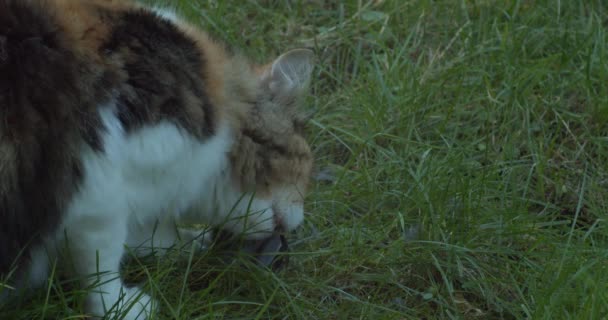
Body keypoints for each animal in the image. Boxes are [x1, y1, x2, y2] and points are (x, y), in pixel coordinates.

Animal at [0, 0, 314, 318]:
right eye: (305, 168)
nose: (298, 226)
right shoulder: (97, 187)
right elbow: (101, 263)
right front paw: (123, 307)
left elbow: (147, 238)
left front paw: (190, 243)